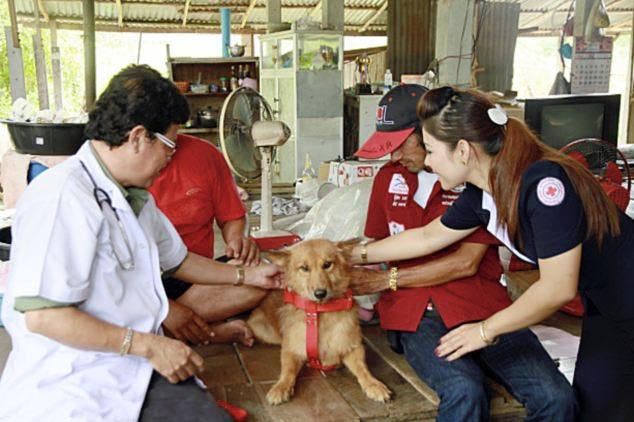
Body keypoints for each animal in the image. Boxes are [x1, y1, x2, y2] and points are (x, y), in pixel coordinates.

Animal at [247, 239, 390, 404]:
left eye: (327, 264)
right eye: (304, 268)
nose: (320, 293)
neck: (319, 312)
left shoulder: (352, 347)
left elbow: (363, 368)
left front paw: (374, 385)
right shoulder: (290, 349)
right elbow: (287, 370)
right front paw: (281, 387)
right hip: (263, 331)